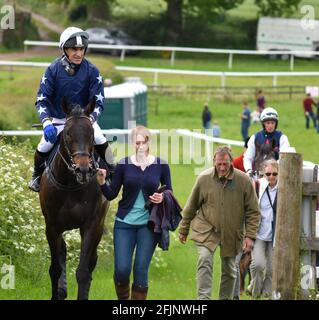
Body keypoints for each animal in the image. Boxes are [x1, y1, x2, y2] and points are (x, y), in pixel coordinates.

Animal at [39, 98, 110, 300]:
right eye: (68, 134)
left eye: (91, 134)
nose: (83, 169)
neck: (70, 183)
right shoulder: (52, 226)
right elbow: (55, 268)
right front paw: (57, 293)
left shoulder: (91, 225)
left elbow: (83, 271)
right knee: (62, 251)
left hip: (99, 225)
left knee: (91, 262)